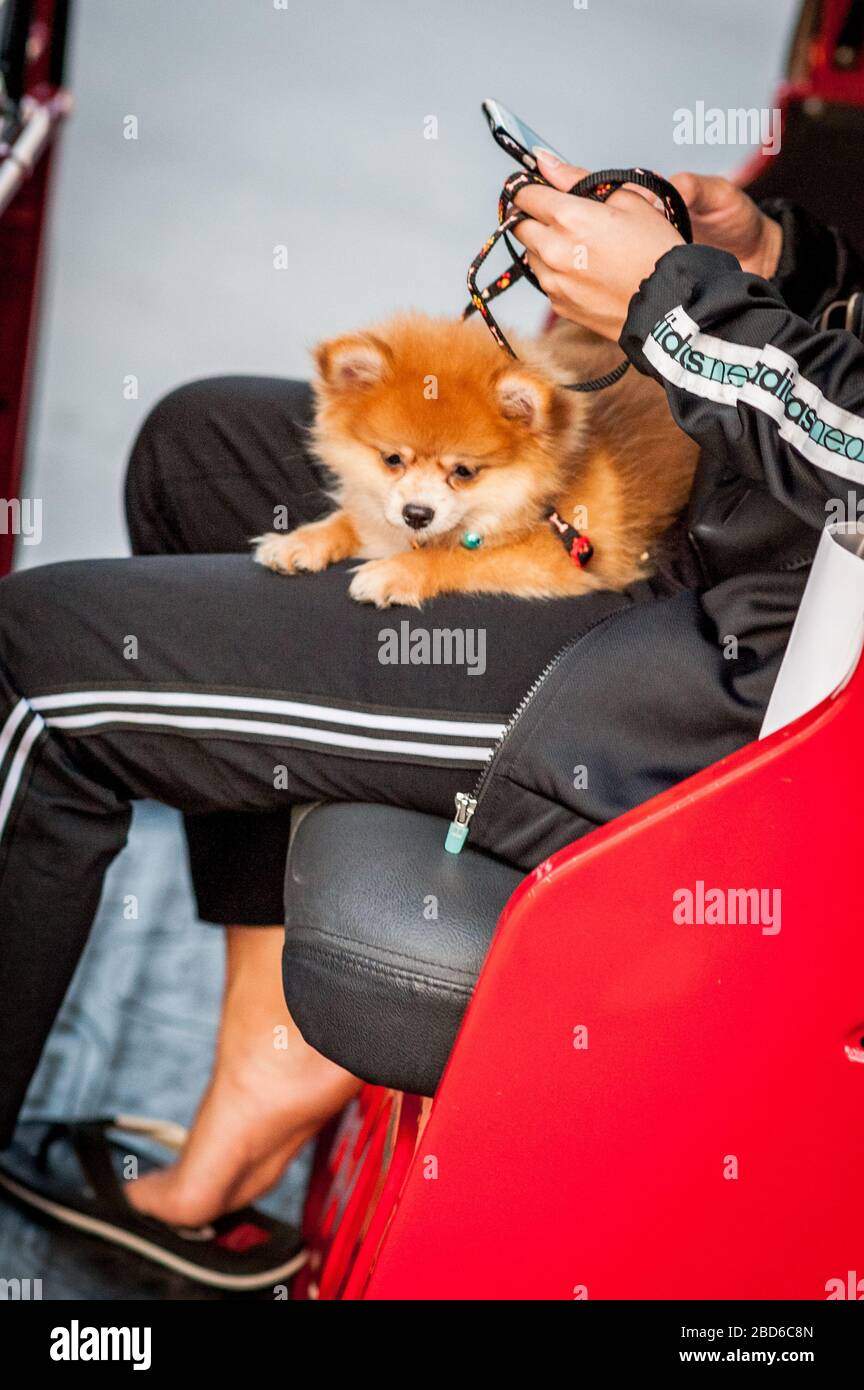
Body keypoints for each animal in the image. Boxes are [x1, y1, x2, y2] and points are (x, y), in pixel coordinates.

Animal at [254, 318, 700, 606]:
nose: (417, 513)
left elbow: (463, 557)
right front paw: (300, 541)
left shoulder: (564, 558)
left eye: (464, 471)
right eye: (392, 459)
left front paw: (394, 571)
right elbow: (354, 518)